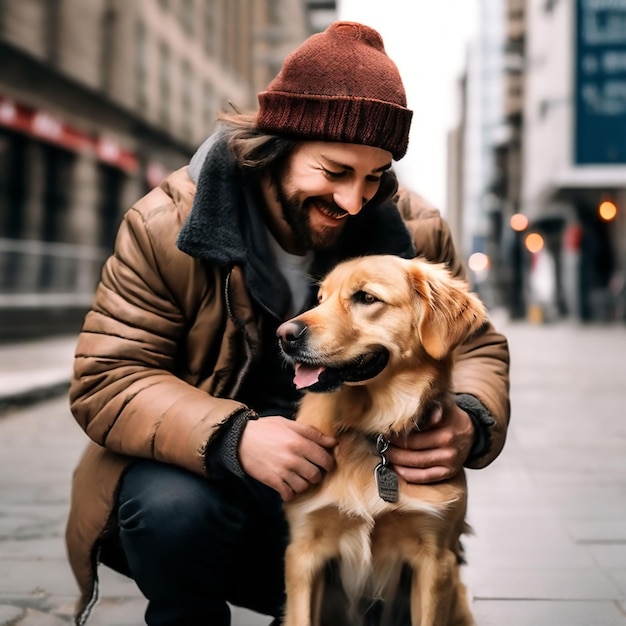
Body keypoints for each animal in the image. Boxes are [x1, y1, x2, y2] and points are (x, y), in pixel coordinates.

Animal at [276, 255, 486, 624]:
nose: (284, 335)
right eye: (320, 299)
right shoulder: (303, 553)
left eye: (366, 297)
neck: (373, 431)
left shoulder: (436, 560)